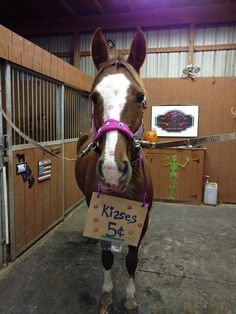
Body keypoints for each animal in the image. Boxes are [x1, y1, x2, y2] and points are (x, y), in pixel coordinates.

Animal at [74, 28, 154, 312]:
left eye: (140, 97)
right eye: (93, 97)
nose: (111, 170)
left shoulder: (141, 217)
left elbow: (132, 259)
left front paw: (130, 297)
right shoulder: (101, 209)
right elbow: (107, 256)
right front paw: (107, 294)